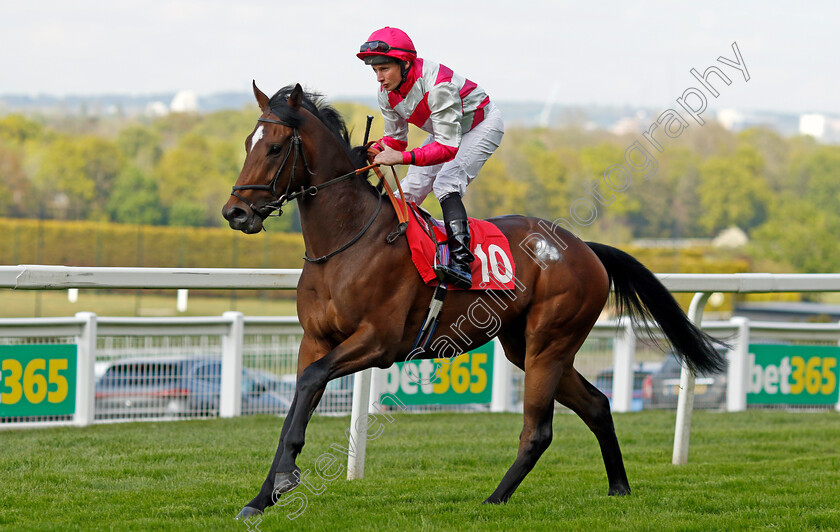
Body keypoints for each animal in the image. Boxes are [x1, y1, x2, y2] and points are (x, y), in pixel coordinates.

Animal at [221, 84, 720, 520]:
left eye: (274, 148)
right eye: (248, 142)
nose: (235, 212)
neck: (345, 243)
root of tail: (586, 248)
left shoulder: (377, 342)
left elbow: (309, 383)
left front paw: (284, 480)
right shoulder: (316, 340)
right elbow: (297, 402)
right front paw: (262, 497)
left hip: (550, 342)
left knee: (538, 430)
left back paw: (495, 499)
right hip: (526, 347)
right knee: (597, 404)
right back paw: (619, 487)